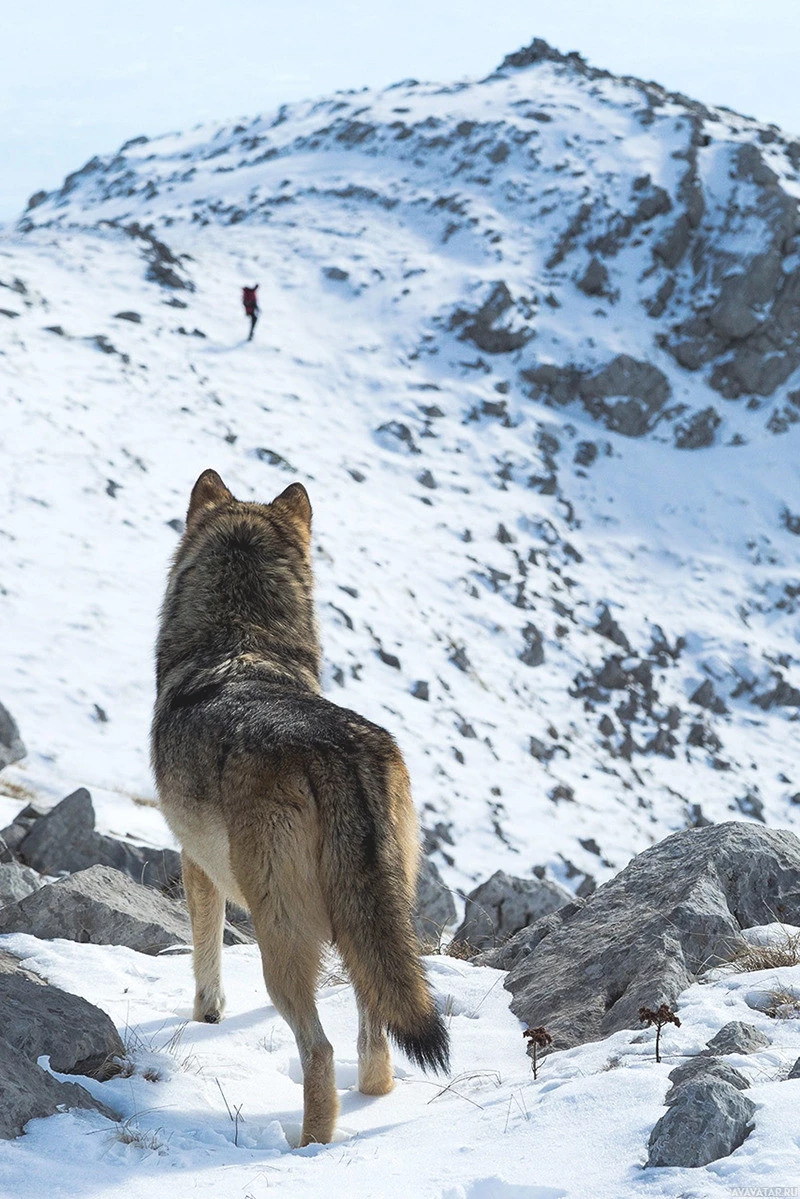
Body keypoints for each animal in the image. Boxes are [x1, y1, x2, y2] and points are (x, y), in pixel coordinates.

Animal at [151, 467, 450, 1141]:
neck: (239, 638)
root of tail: (342, 752)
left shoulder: (194, 862)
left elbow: (205, 959)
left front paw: (205, 1018)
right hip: (373, 918)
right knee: (374, 1035)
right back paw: (371, 1100)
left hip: (281, 931)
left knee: (320, 1050)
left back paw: (307, 1145)